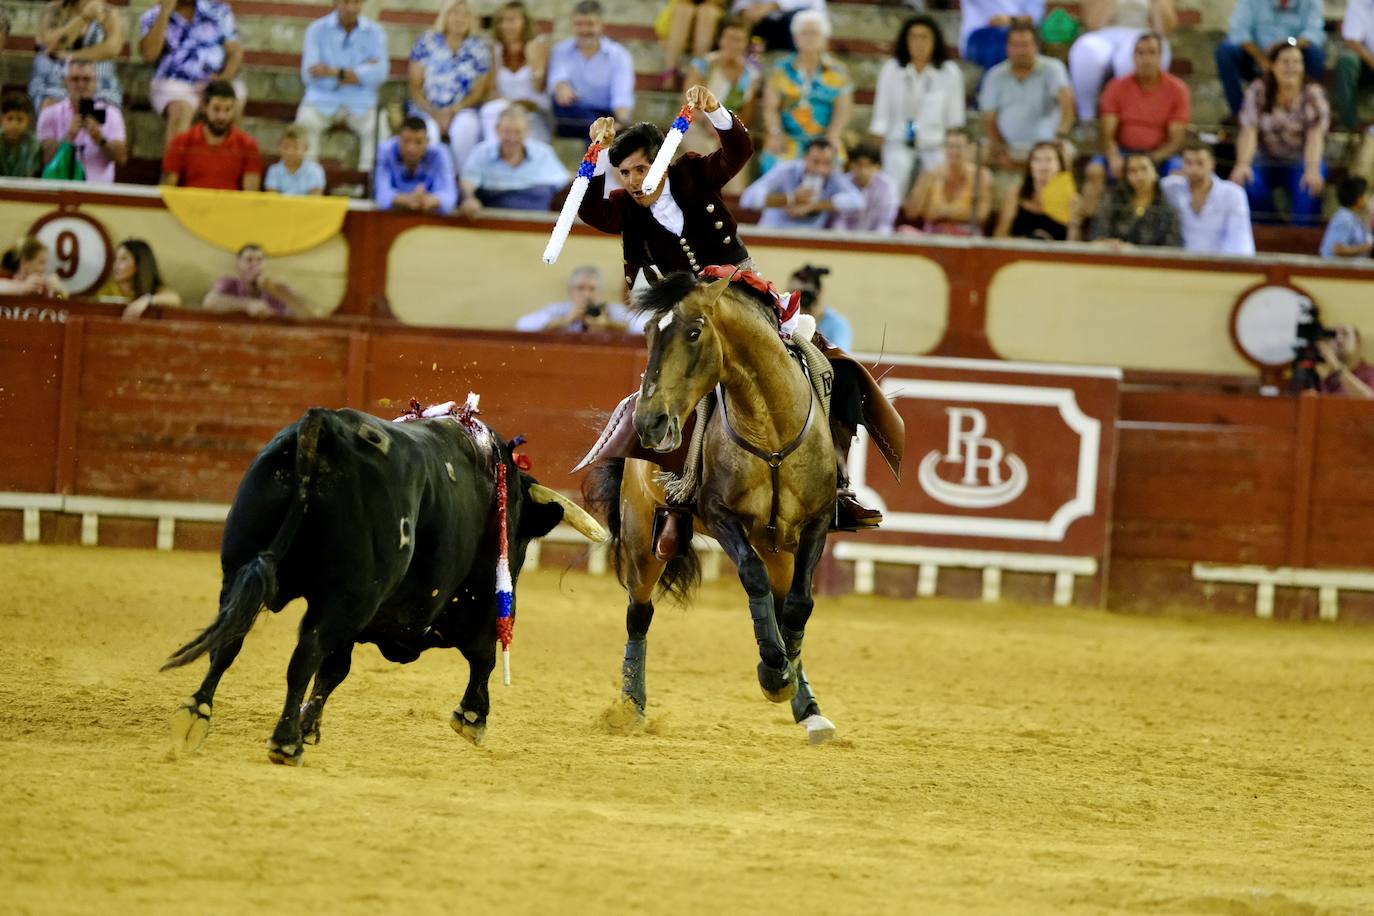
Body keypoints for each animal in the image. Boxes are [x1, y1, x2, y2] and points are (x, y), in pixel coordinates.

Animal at [158, 409, 604, 769]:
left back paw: (196, 713)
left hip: (239, 569)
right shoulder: (474, 603)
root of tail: (326, 425)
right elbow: (485, 656)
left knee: (230, 640)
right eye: (523, 541)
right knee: (303, 654)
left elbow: (334, 669)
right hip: (347, 595)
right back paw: (284, 743)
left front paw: (310, 725)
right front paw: (472, 717)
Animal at [582, 271, 835, 747]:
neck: (771, 431)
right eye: (647, 332)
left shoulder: (817, 521)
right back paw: (631, 705)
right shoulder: (721, 517)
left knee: (782, 600)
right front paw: (773, 672)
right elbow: (752, 578)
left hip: (779, 548)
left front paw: (788, 677)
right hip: (643, 539)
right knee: (639, 613)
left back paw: (808, 706)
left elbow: (799, 604)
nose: (649, 423)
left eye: (695, 332)